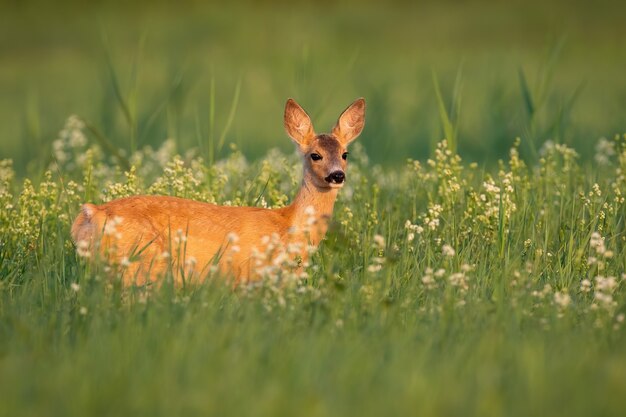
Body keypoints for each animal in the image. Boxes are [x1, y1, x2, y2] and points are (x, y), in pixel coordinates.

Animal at [72, 98, 366, 286]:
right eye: (315, 155)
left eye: (345, 154)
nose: (337, 175)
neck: (289, 225)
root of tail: (91, 213)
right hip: (139, 264)